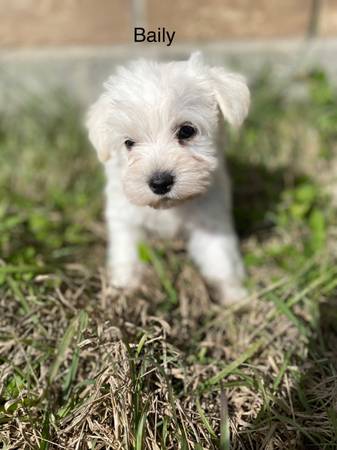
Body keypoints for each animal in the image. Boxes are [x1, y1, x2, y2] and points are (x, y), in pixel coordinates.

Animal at [86, 52, 249, 304]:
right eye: (129, 143)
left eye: (187, 131)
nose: (160, 183)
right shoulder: (125, 219)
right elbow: (127, 254)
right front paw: (123, 288)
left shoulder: (210, 217)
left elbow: (220, 256)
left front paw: (235, 297)